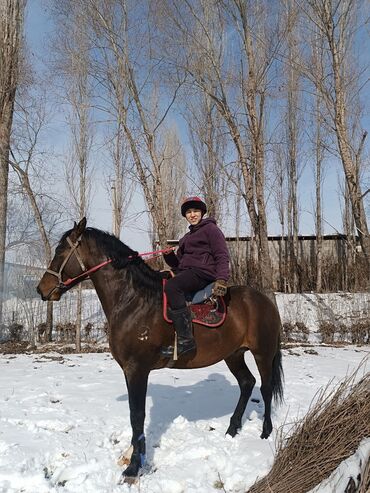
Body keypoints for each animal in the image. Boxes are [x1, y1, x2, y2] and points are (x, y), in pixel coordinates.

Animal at [36, 218, 284, 476]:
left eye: (61, 251)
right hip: (233, 355)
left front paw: (134, 466)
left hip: (263, 353)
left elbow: (137, 414)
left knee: (265, 388)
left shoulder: (137, 369)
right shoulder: (129, 370)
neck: (134, 301)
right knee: (247, 383)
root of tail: (264, 301)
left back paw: (265, 431)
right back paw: (232, 429)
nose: (41, 289)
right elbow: (135, 414)